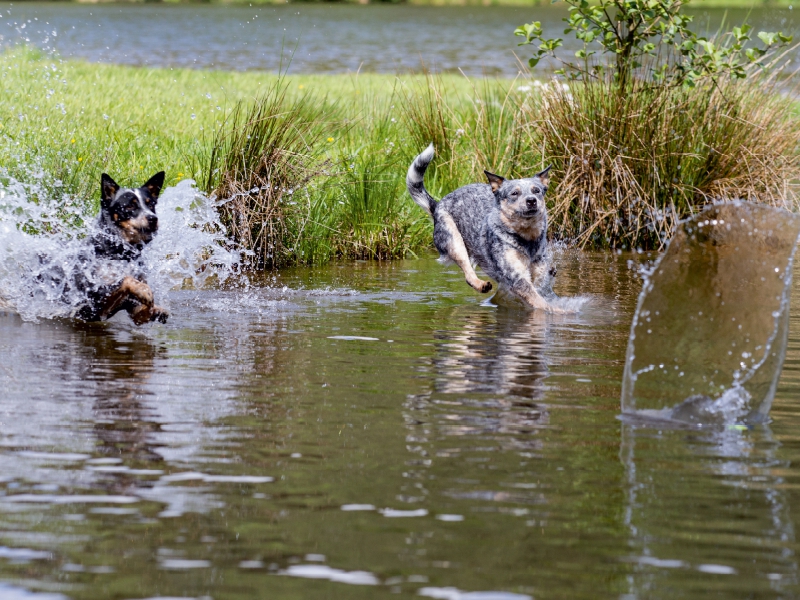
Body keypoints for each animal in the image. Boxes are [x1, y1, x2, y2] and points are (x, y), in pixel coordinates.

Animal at [404, 144, 560, 312]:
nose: (531, 200)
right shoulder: (516, 276)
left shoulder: (539, 272)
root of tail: (438, 204)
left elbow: (542, 291)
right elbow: (539, 301)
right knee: (467, 272)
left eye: (536, 190)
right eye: (514, 193)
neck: (526, 237)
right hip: (454, 241)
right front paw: (559, 310)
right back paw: (480, 284)